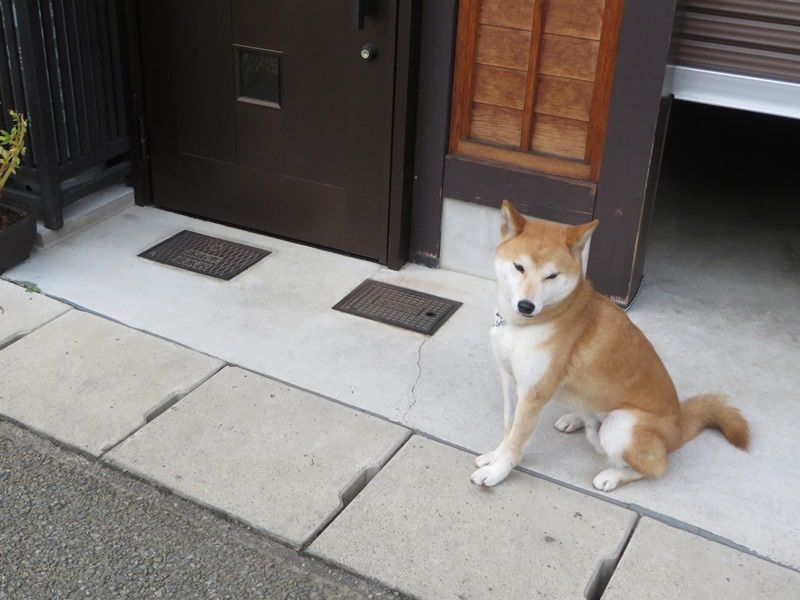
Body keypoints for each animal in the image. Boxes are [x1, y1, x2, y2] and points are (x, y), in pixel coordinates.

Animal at [468, 199, 752, 490]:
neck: (526, 324)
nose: (526, 306)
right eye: (519, 267)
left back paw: (612, 476)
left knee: (655, 466)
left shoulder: (534, 392)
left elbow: (517, 440)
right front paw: (495, 455)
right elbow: (508, 426)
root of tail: (679, 425)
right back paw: (575, 418)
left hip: (621, 425)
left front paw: (498, 470)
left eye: (551, 276)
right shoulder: (509, 378)